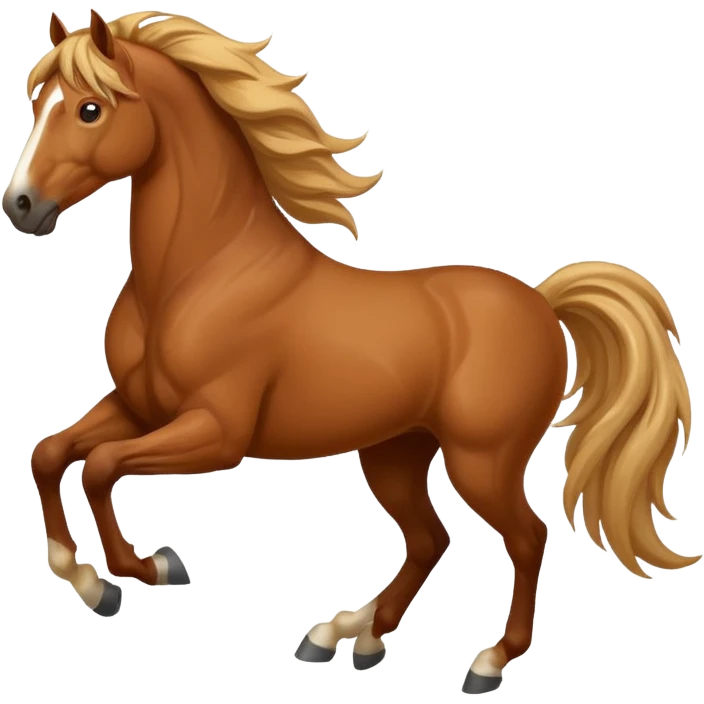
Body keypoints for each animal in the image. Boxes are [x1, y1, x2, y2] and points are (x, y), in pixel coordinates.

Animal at [4, 9, 697, 696]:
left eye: (89, 109)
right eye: (36, 102)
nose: (21, 206)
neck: (198, 274)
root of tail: (543, 303)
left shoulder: (216, 432)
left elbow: (100, 467)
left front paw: (142, 572)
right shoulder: (139, 408)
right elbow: (51, 454)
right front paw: (86, 578)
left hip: (483, 461)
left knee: (526, 538)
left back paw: (486, 662)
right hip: (395, 453)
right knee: (429, 538)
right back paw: (349, 635)